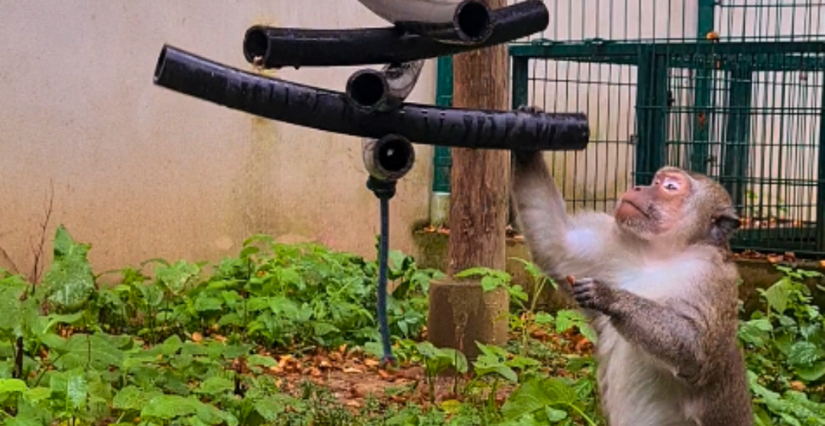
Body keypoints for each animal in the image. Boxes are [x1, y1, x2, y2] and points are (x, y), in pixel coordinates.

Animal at [516, 106, 752, 426]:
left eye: (670, 187)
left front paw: (611, 298)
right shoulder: (616, 247)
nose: (638, 186)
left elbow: (695, 351)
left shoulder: (712, 278)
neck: (662, 253)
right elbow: (557, 245)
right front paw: (527, 142)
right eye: (655, 181)